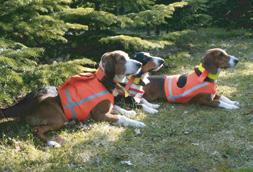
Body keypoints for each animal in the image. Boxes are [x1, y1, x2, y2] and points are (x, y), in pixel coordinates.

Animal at [0, 50, 146, 148]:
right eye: (122, 59)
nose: (140, 64)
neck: (103, 81)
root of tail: (26, 105)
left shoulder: (108, 106)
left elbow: (118, 107)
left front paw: (130, 112)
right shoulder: (99, 114)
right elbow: (121, 117)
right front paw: (138, 123)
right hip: (58, 117)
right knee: (36, 130)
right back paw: (53, 143)